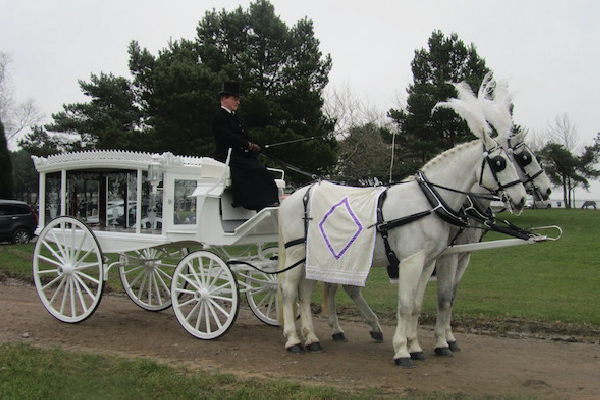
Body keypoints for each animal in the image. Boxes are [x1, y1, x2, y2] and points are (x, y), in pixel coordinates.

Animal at [278, 129, 528, 366]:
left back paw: (312, 339)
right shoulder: (412, 261)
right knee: (289, 292)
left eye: (514, 160)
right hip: (296, 253)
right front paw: (402, 350)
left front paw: (415, 347)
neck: (429, 202)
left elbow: (416, 305)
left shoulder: (427, 262)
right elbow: (406, 304)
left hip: (313, 256)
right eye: (500, 162)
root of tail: (294, 196)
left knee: (305, 294)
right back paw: (293, 340)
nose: (522, 199)